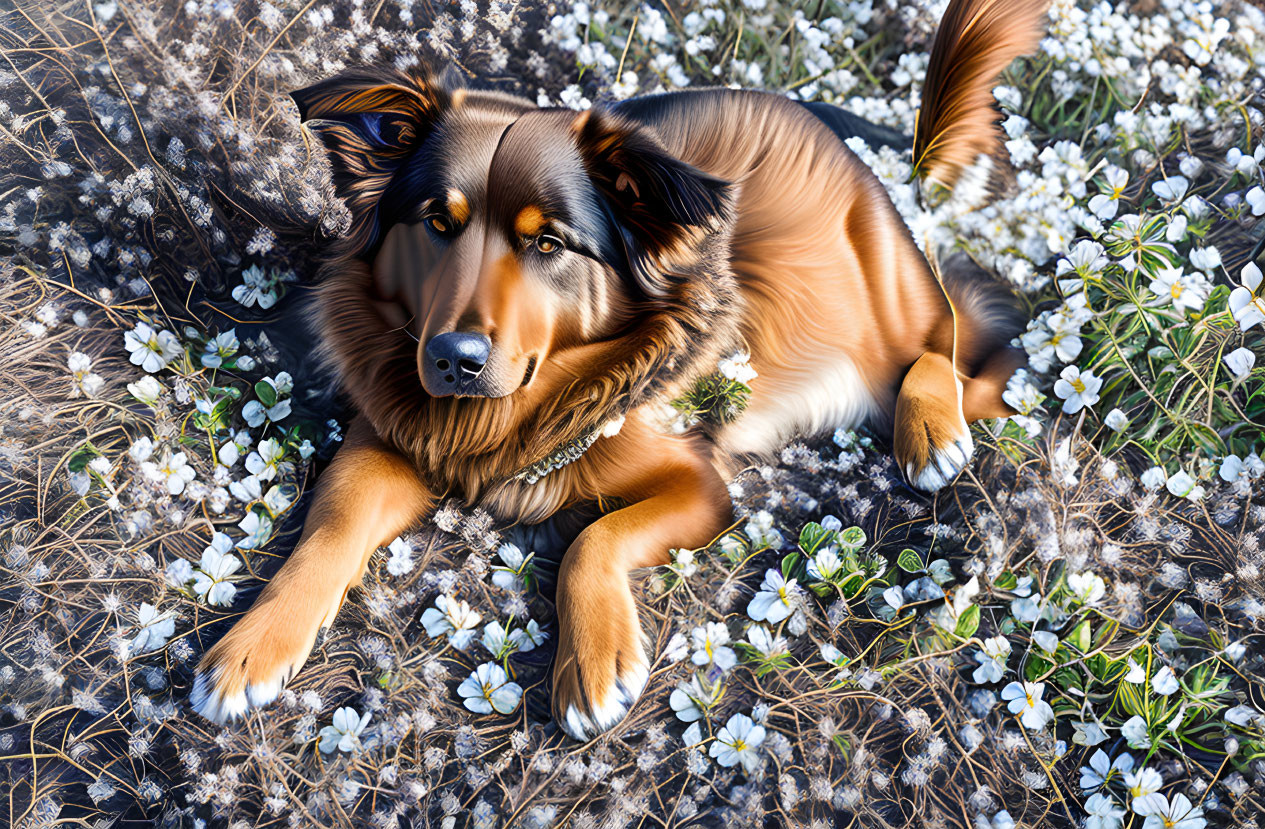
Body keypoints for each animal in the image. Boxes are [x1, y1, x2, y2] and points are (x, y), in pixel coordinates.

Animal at [194, 0, 1047, 739]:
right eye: (437, 222)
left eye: (547, 243)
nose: (452, 361)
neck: (511, 412)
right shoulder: (391, 436)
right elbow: (331, 522)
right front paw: (253, 644)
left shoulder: (700, 486)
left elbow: (590, 539)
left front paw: (593, 664)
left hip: (893, 305)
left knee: (964, 344)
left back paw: (933, 429)